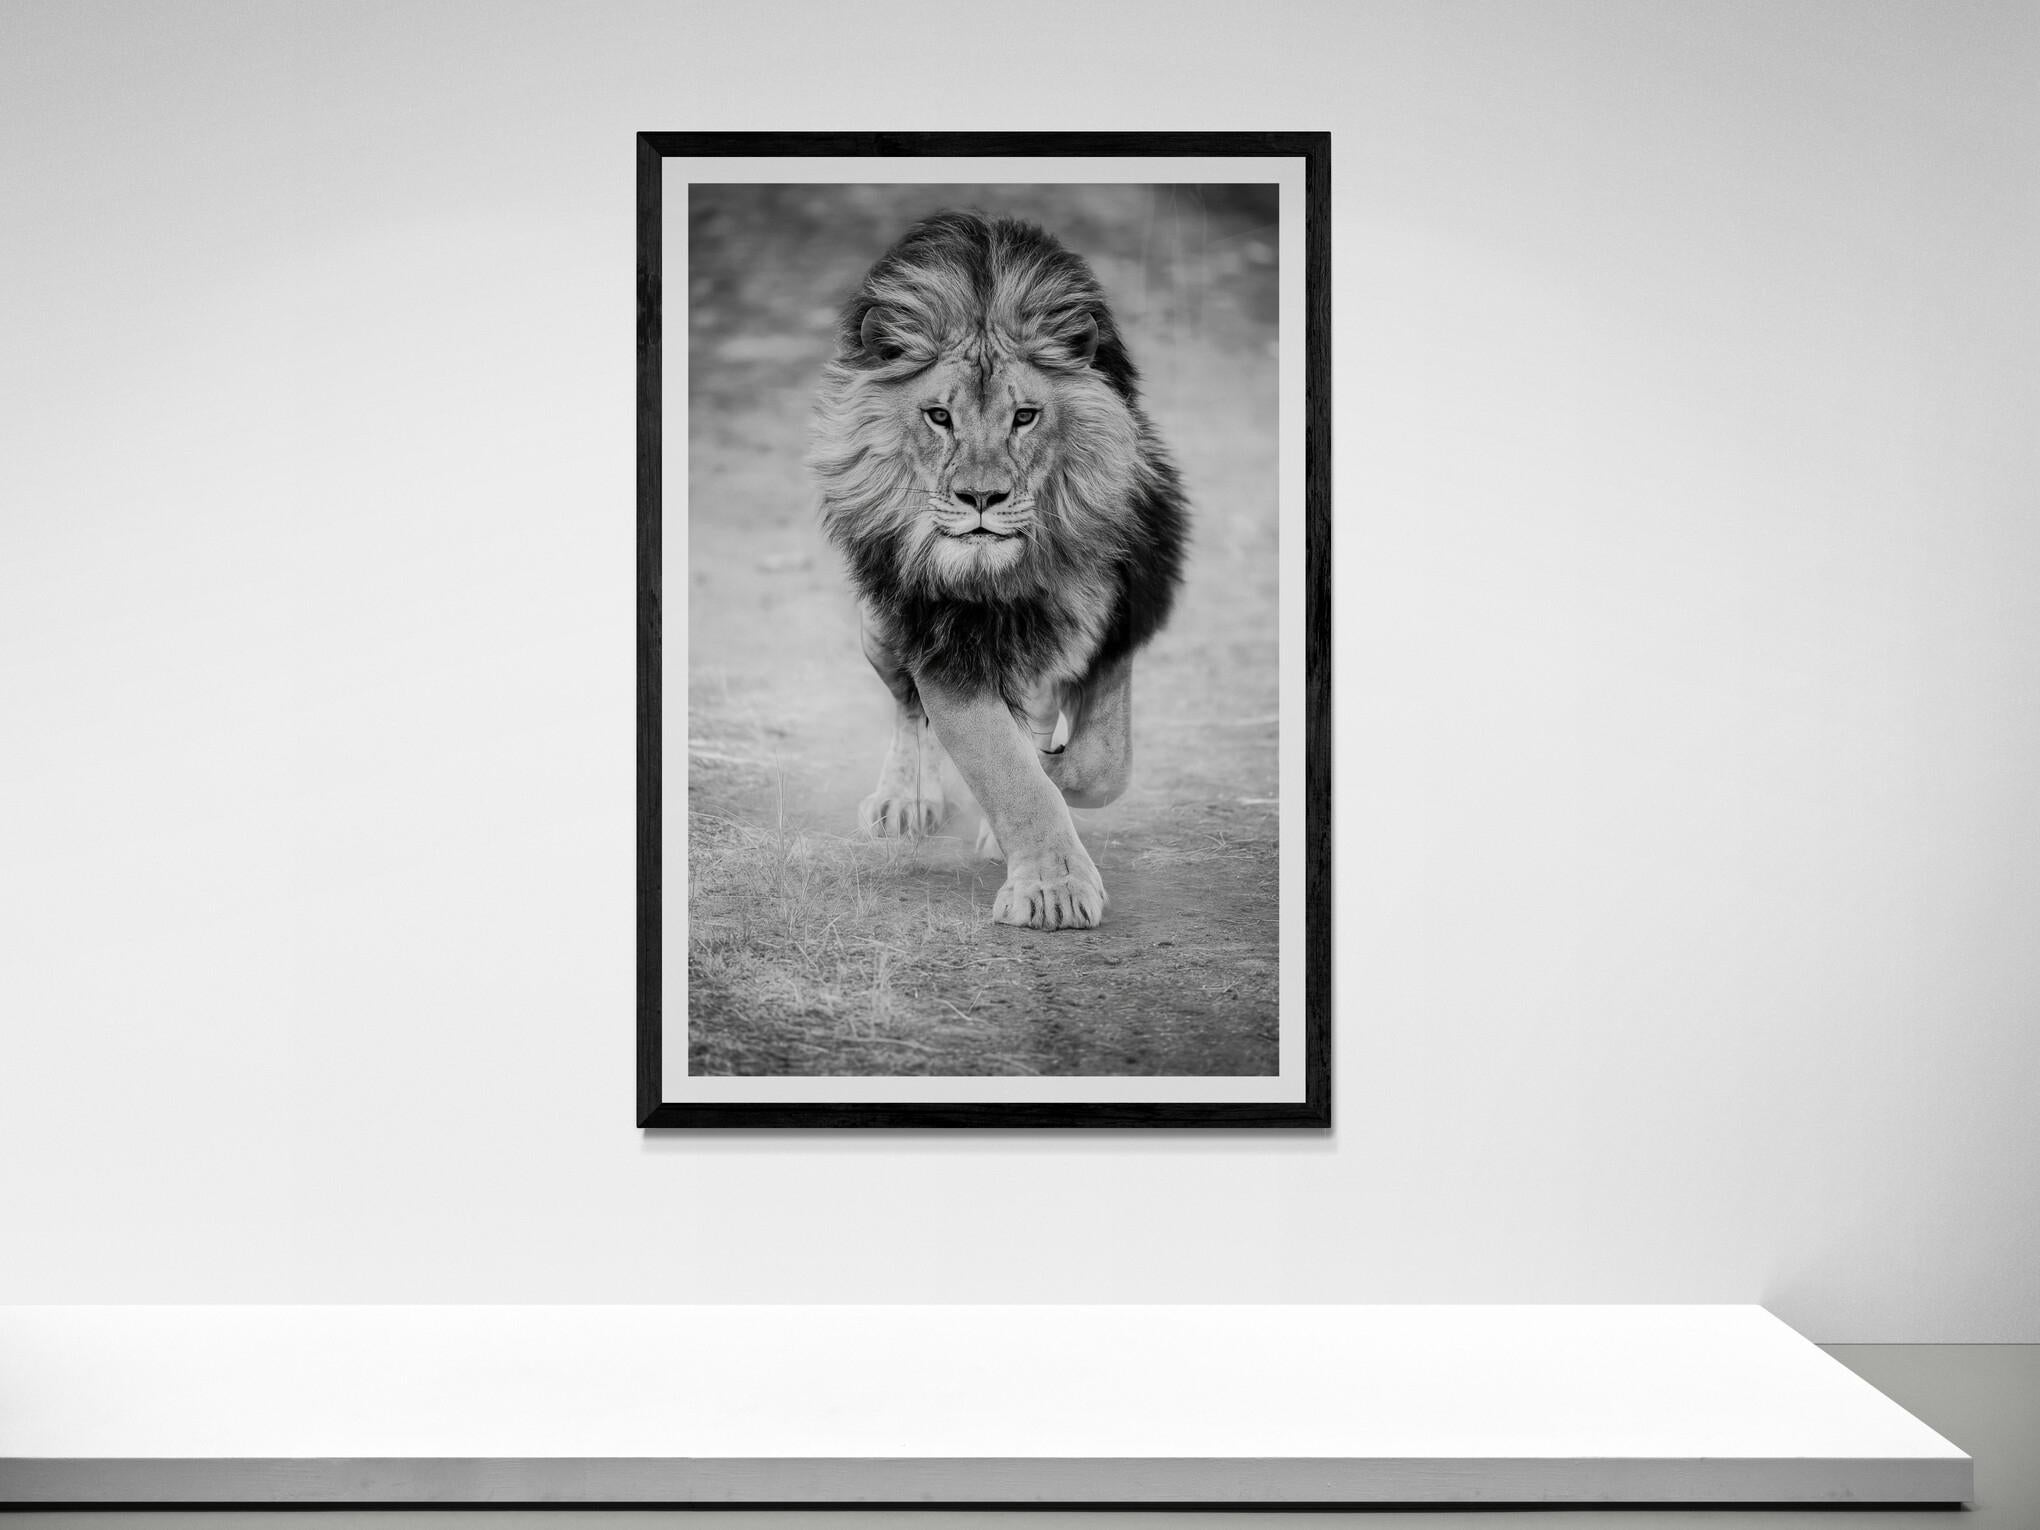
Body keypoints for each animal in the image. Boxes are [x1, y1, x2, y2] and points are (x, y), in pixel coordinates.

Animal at [808, 209, 1189, 930]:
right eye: (938, 416)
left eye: (1025, 416)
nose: (979, 498)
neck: (1007, 576)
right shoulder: (939, 645)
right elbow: (1001, 765)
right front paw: (1053, 890)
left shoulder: (1115, 621)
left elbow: (1100, 764)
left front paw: (1050, 791)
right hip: (879, 627)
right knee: (908, 708)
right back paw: (906, 801)